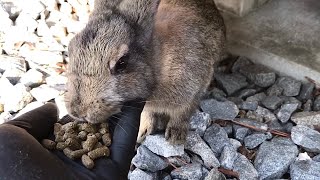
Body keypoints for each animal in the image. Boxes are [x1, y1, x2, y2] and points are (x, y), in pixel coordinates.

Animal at [65, 0, 225, 144]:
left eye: (122, 62)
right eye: (70, 47)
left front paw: (175, 137)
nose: (77, 112)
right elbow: (148, 113)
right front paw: (143, 131)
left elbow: (182, 114)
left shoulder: (194, 90)